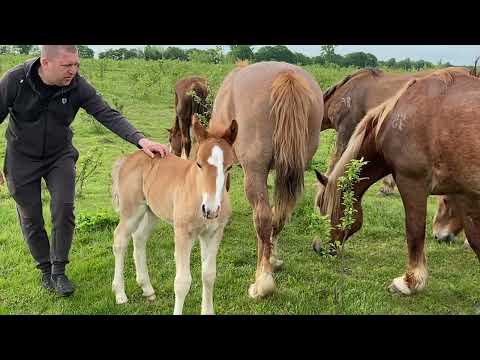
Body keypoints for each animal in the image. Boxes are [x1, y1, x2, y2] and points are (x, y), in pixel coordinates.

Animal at [109, 116, 236, 314]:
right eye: (199, 164)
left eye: (229, 167)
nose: (210, 209)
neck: (197, 192)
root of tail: (128, 159)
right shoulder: (183, 233)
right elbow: (182, 282)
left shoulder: (213, 233)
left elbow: (209, 275)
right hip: (132, 211)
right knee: (120, 240)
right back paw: (120, 294)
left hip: (152, 211)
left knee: (139, 238)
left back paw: (147, 289)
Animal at [209, 61, 324, 298]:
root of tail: (286, 76)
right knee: (279, 215)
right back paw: (271, 260)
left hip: (255, 171)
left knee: (263, 217)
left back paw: (263, 281)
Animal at [314, 69, 480, 296]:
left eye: (322, 206)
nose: (317, 248)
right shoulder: (465, 194)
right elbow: (475, 238)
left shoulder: (412, 182)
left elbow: (415, 230)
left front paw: (409, 282)